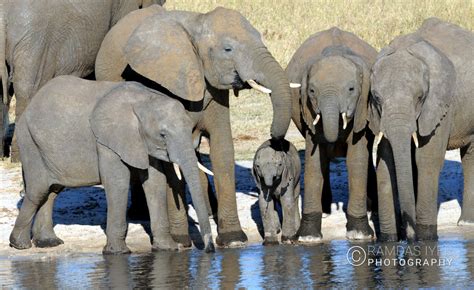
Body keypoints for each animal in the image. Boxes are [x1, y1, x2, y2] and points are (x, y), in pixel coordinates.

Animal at [9, 75, 215, 254]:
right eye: (163, 135)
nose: (209, 250)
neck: (145, 100)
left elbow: (155, 182)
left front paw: (167, 249)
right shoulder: (107, 140)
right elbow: (118, 182)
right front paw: (118, 253)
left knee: (52, 191)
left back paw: (48, 243)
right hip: (29, 142)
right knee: (38, 190)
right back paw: (20, 245)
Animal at [94, 6, 290, 247]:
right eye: (228, 49)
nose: (274, 138)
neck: (197, 23)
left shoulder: (213, 86)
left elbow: (222, 149)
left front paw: (233, 240)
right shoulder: (164, 82)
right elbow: (170, 161)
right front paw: (180, 240)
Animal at [286, 27, 378, 242]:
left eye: (351, 89)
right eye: (312, 91)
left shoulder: (361, 108)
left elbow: (356, 160)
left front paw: (359, 234)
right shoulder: (309, 112)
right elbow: (314, 163)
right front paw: (308, 237)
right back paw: (326, 209)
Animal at [370, 17, 474, 241]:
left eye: (420, 97)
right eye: (376, 98)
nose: (409, 236)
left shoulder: (441, 105)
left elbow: (426, 160)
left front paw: (425, 238)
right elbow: (385, 161)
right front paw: (389, 239)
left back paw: (466, 224)